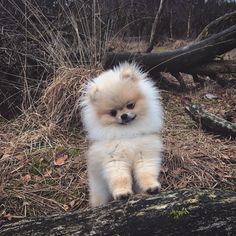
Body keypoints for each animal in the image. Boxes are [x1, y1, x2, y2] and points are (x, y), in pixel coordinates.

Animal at [80, 62, 163, 206]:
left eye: (130, 105)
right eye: (113, 113)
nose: (123, 116)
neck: (127, 134)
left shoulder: (145, 154)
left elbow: (146, 173)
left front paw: (151, 187)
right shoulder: (115, 159)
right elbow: (120, 178)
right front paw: (122, 193)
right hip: (99, 190)